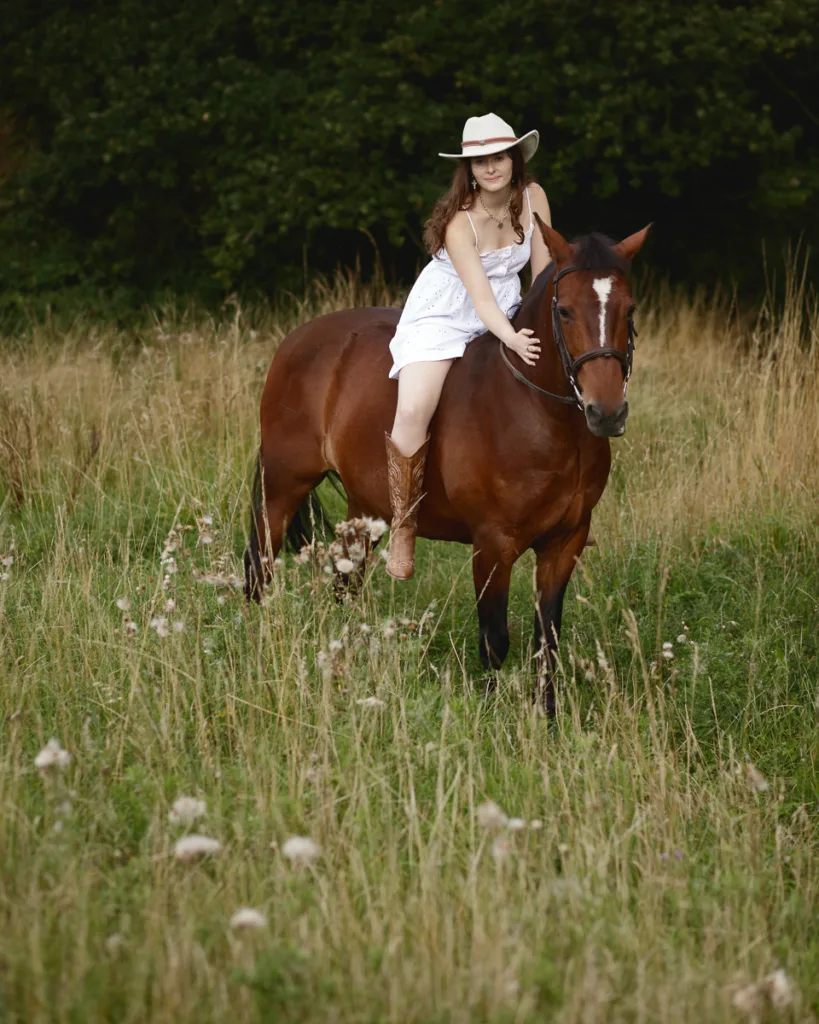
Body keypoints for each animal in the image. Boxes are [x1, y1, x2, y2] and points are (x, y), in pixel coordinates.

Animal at [245, 218, 650, 712]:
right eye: (567, 311)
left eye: (629, 310)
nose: (606, 413)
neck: (540, 414)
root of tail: (296, 339)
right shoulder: (493, 544)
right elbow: (494, 639)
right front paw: (494, 718)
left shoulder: (566, 541)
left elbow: (547, 639)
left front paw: (547, 717)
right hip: (283, 486)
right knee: (259, 569)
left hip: (366, 507)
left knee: (345, 582)